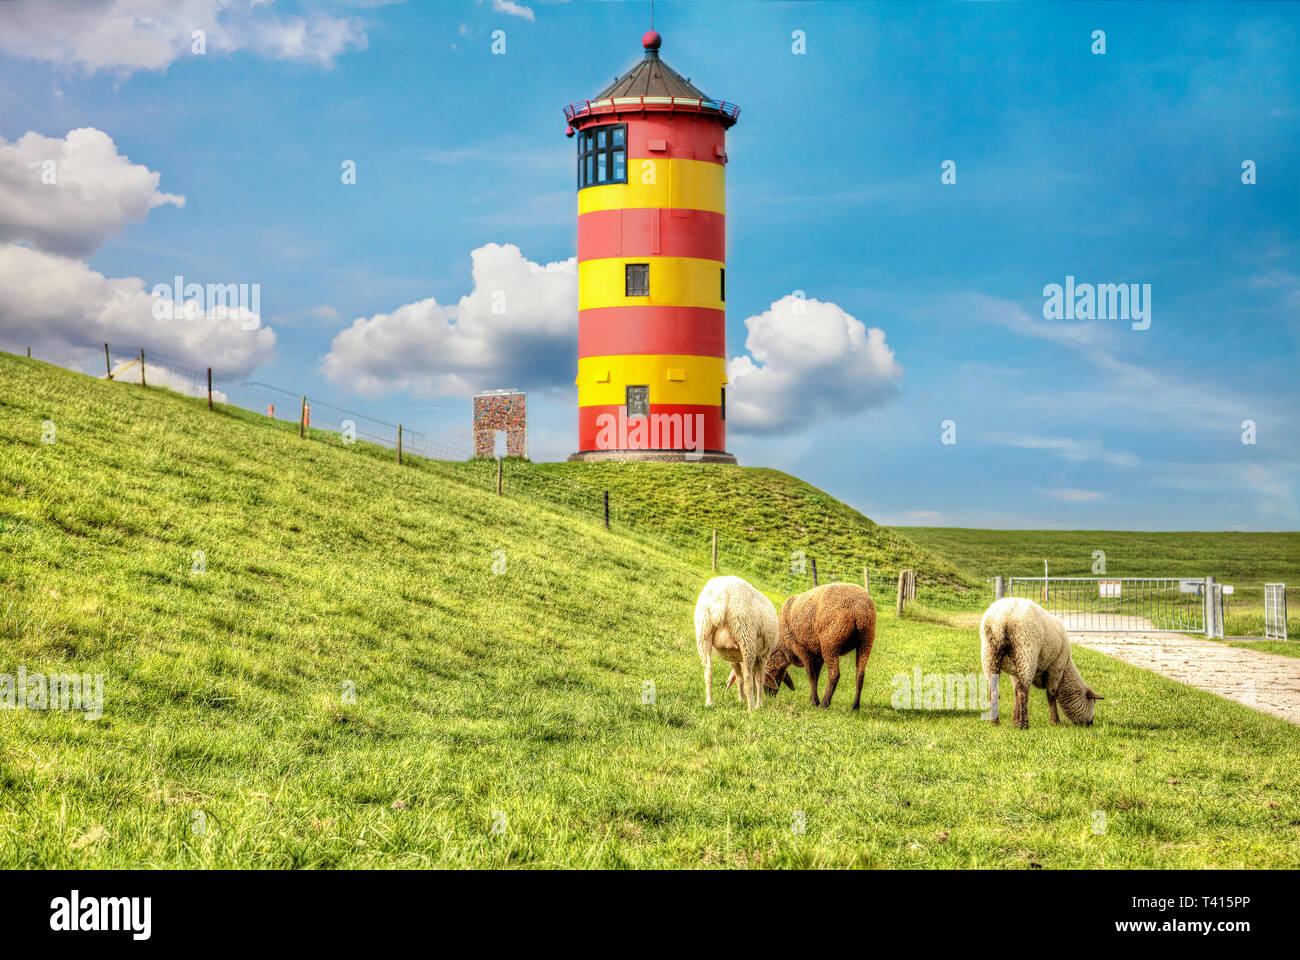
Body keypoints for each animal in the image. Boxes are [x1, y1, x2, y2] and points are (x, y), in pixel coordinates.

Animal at [696, 572, 774, 707]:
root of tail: (721, 595)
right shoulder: (764, 656)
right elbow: (758, 680)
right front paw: (759, 704)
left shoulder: (733, 658)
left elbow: (738, 678)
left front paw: (741, 698)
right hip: (745, 634)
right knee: (748, 677)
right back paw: (751, 707)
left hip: (703, 632)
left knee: (708, 670)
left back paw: (710, 702)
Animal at [977, 595, 1102, 728]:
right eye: (1093, 702)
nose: (1091, 723)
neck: (1066, 671)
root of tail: (1001, 619)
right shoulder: (1056, 667)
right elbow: (1051, 694)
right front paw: (1055, 721)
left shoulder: (1014, 672)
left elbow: (1015, 693)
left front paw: (1014, 720)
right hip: (1026, 651)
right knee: (1023, 690)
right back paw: (1024, 724)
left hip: (990, 654)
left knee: (994, 689)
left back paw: (994, 721)